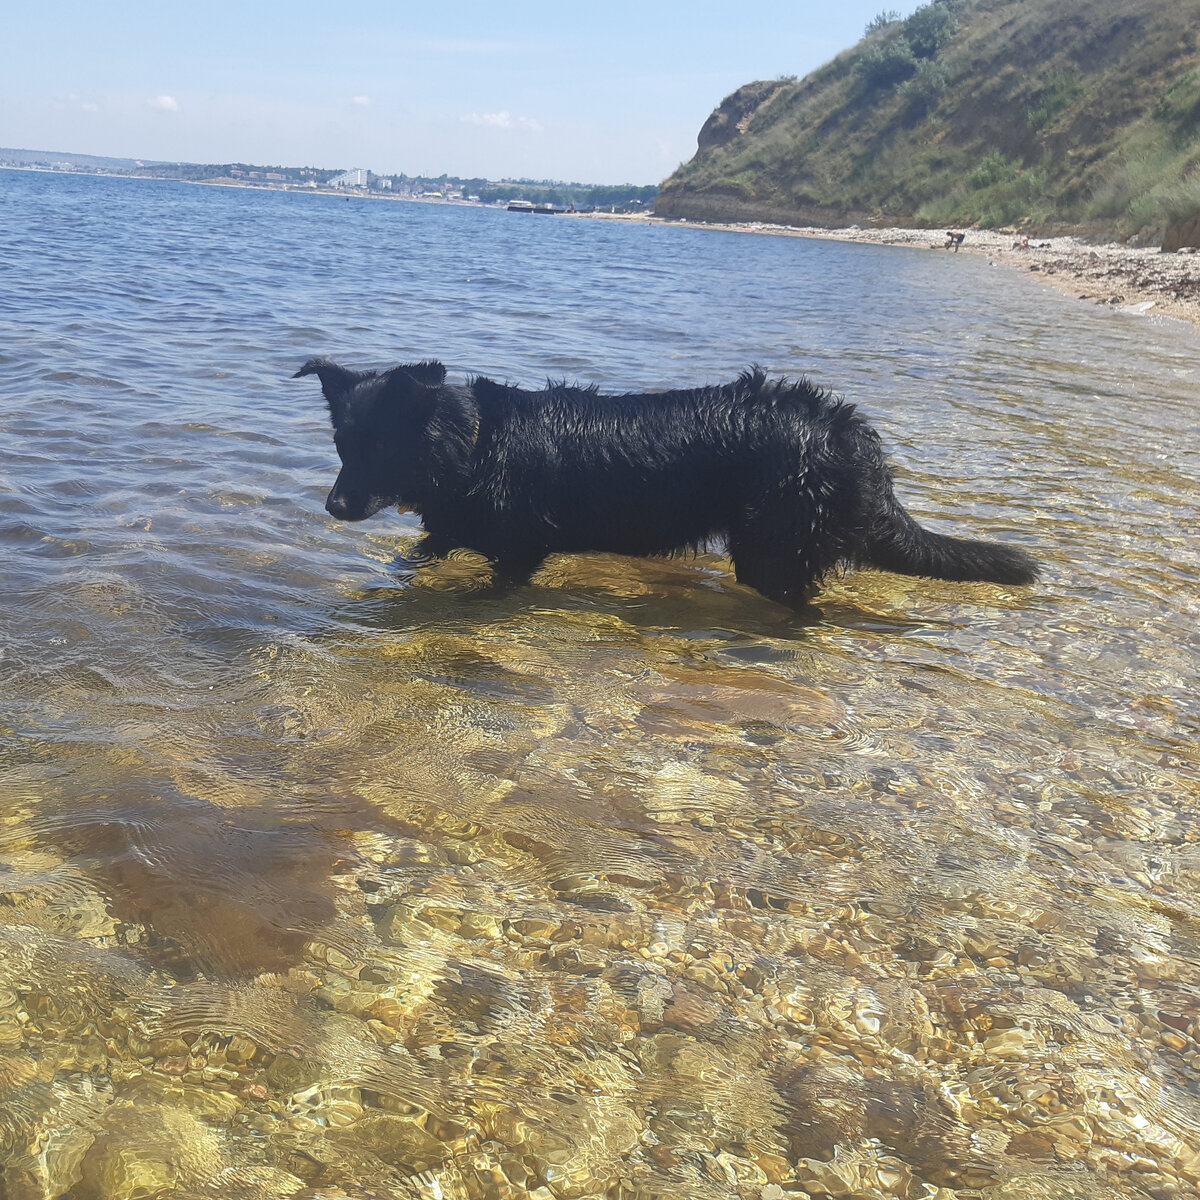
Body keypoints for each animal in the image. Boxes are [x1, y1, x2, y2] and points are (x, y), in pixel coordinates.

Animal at [295, 350, 1036, 604]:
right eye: (341, 445)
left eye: (380, 449)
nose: (333, 506)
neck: (476, 449)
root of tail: (844, 430)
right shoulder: (448, 534)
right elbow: (419, 555)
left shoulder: (519, 553)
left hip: (773, 548)